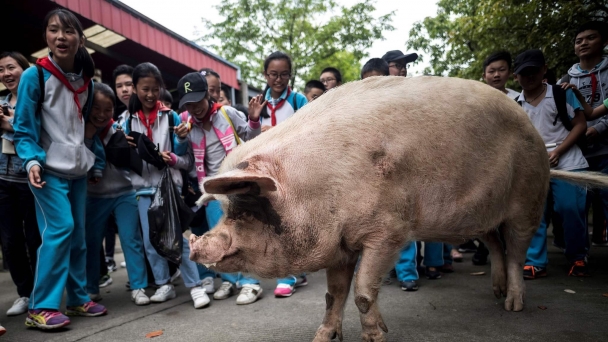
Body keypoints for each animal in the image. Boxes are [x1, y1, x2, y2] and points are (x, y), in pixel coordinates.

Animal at [190, 76, 608, 340]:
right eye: (229, 206)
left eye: (251, 206)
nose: (198, 244)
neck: (317, 188)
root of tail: (535, 135)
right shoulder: (339, 244)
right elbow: (333, 295)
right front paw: (322, 337)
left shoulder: (389, 231)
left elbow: (362, 291)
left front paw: (377, 337)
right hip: (482, 214)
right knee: (495, 245)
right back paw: (496, 291)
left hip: (528, 198)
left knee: (518, 249)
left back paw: (512, 306)